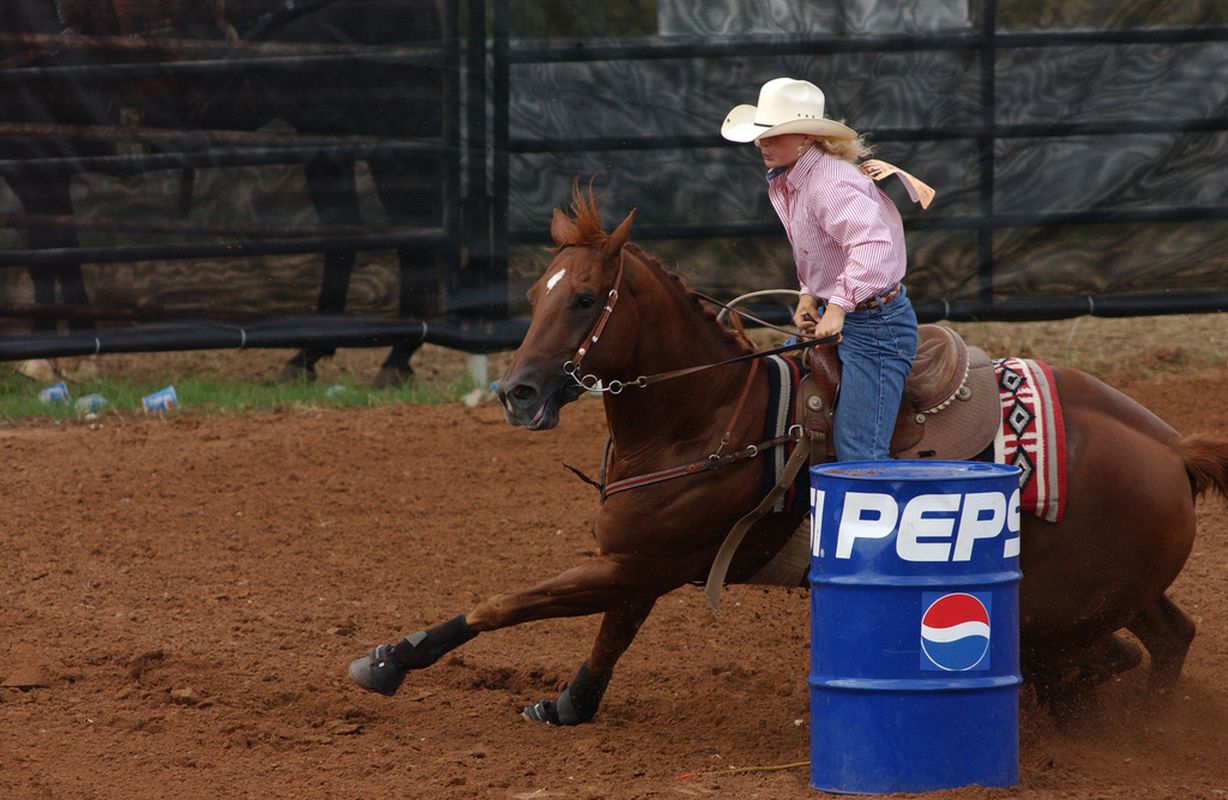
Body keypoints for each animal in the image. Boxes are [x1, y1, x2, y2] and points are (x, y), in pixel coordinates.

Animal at [343, 189, 1228, 727]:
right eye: (534, 297)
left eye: (588, 298)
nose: (517, 393)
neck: (701, 416)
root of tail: (1171, 446)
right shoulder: (642, 562)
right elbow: (610, 635)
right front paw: (569, 704)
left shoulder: (641, 561)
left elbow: (510, 602)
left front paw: (388, 660)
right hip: (1114, 590)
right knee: (1168, 639)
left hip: (1057, 608)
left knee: (1105, 659)